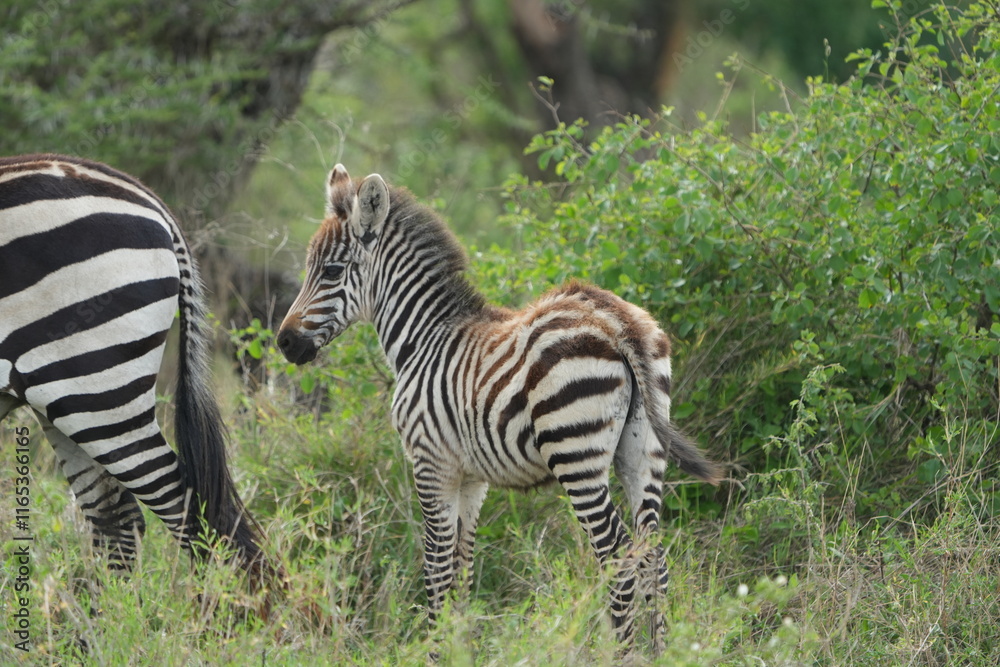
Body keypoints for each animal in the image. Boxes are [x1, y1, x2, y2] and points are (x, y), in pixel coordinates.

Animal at [0, 154, 270, 583]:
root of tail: (152, 202)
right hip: (64, 396)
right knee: (116, 520)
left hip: (93, 385)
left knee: (191, 511)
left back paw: (219, 603)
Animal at [276, 164, 722, 651]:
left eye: (332, 271)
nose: (284, 342)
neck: (423, 338)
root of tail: (616, 322)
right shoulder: (473, 479)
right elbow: (463, 571)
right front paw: (461, 646)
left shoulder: (431, 464)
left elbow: (436, 571)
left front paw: (436, 649)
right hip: (644, 451)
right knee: (653, 558)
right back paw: (664, 651)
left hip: (576, 453)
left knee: (617, 556)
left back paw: (623, 653)